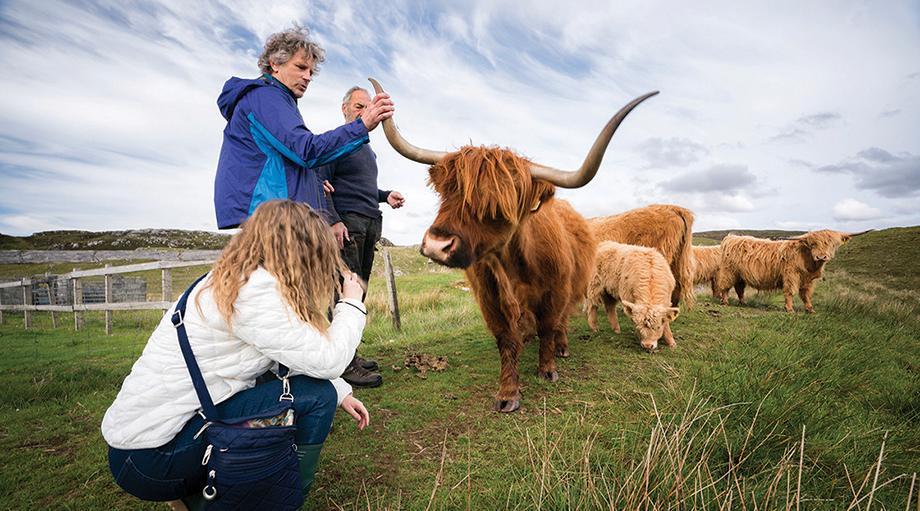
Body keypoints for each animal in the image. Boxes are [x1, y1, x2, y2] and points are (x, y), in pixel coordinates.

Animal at [366, 77, 656, 412]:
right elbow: (506, 339)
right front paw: (508, 393)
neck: (513, 267)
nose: (437, 245)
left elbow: (549, 326)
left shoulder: (555, 292)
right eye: (447, 191)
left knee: (561, 323)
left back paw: (561, 347)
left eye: (497, 204)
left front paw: (547, 369)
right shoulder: (489, 297)